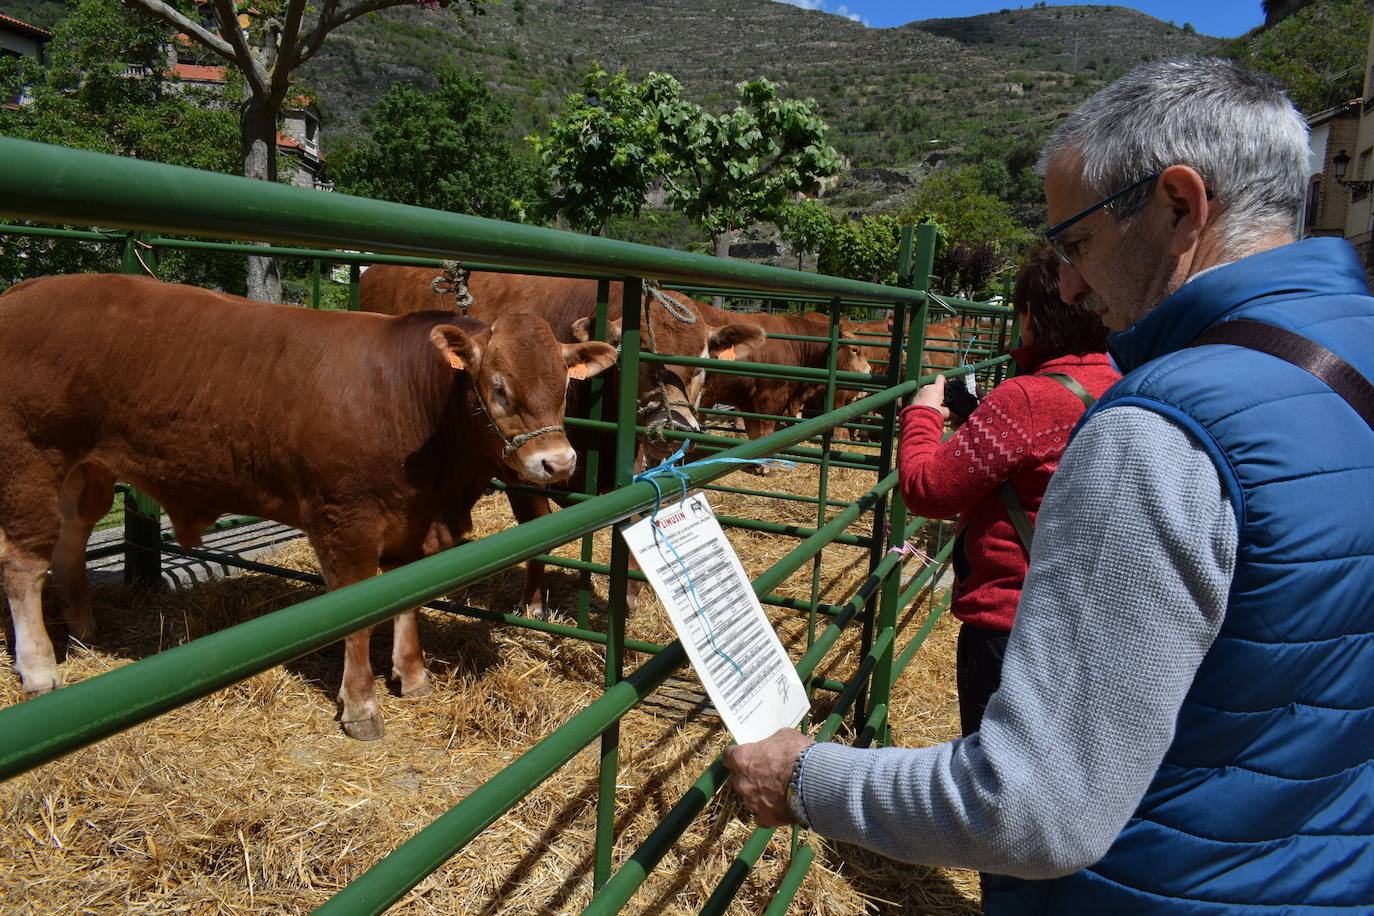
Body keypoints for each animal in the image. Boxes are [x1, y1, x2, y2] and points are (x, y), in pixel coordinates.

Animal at [0, 271, 618, 736]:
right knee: (24, 562)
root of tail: (23, 290)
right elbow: (357, 612)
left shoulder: (412, 520)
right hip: (28, 458)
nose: (558, 463)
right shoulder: (345, 520)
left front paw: (412, 676)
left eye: (564, 385)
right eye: (498, 387)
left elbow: (406, 598)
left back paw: (83, 629)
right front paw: (362, 706)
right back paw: (39, 670)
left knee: (70, 540)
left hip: (85, 469)